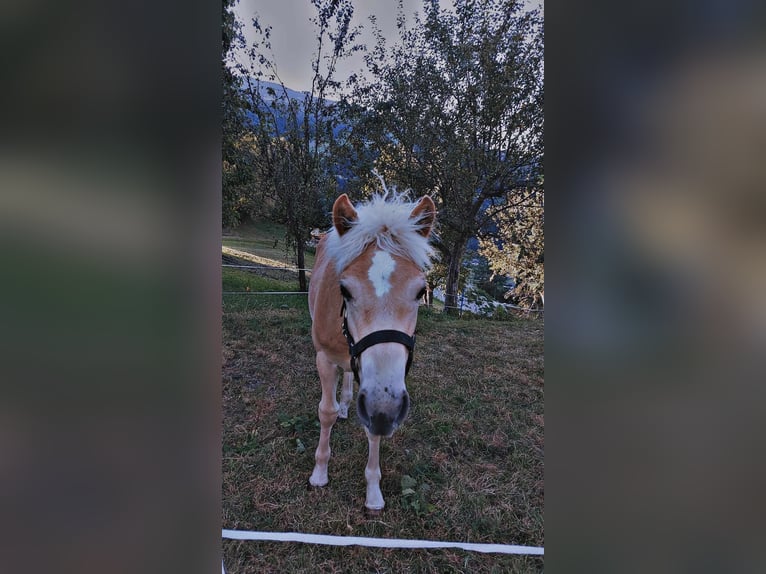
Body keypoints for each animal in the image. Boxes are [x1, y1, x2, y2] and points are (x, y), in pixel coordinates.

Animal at [308, 192, 438, 512]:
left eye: (420, 292)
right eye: (344, 290)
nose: (384, 409)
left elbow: (373, 430)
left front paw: (373, 491)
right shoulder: (324, 359)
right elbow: (325, 412)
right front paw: (320, 472)